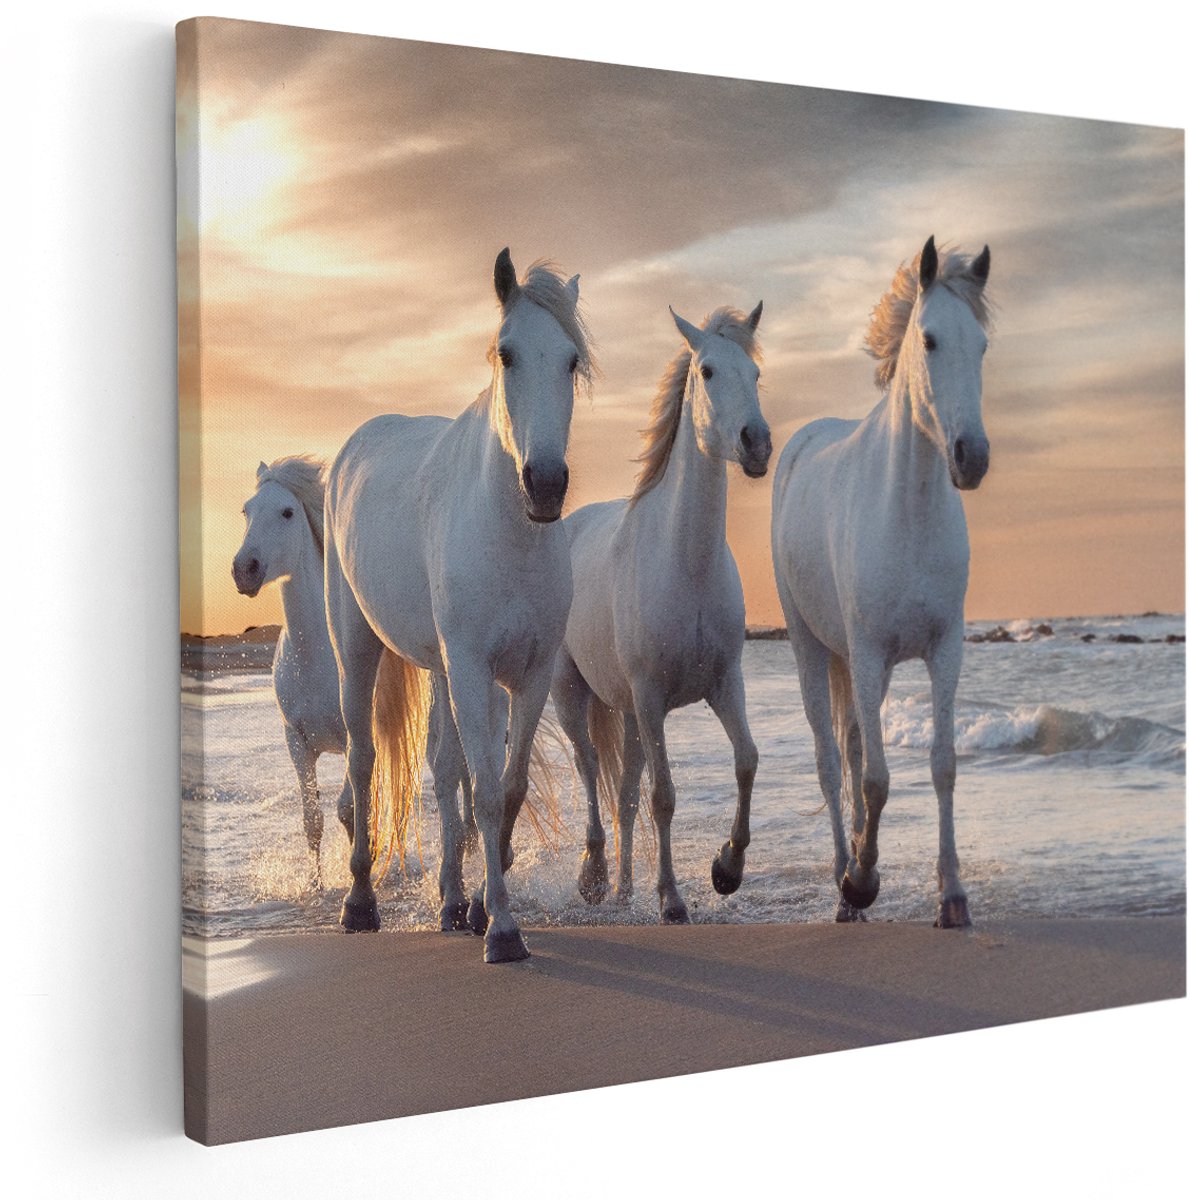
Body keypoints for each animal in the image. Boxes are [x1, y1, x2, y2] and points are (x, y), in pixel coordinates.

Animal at [231, 456, 478, 888]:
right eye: (247, 510)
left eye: (287, 511)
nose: (245, 569)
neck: (314, 658)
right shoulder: (296, 742)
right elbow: (313, 820)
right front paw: (316, 885)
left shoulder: (352, 736)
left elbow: (349, 809)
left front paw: (360, 875)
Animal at [324, 249, 592, 963]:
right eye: (507, 354)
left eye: (571, 361)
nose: (545, 484)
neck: (508, 533)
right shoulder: (472, 669)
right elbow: (487, 793)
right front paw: (501, 930)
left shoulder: (527, 675)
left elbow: (503, 786)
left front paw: (478, 906)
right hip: (357, 646)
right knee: (363, 761)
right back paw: (359, 902)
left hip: (442, 669)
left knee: (444, 774)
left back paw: (448, 901)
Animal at [551, 303, 771, 924]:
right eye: (708, 371)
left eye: (756, 373)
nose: (757, 443)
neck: (685, 563)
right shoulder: (651, 699)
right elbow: (664, 797)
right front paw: (672, 899)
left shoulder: (725, 684)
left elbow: (746, 761)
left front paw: (727, 869)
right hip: (573, 695)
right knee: (590, 771)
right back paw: (595, 877)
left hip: (625, 714)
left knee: (623, 794)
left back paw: (625, 889)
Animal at [771, 235, 992, 927]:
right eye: (929, 340)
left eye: (982, 345)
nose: (972, 458)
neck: (909, 514)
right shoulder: (867, 655)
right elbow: (874, 779)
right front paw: (863, 880)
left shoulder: (944, 651)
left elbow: (942, 765)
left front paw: (953, 896)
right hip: (814, 650)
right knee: (829, 760)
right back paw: (846, 886)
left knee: (850, 749)